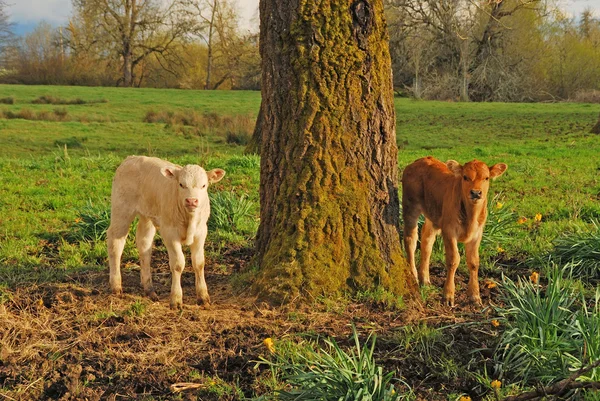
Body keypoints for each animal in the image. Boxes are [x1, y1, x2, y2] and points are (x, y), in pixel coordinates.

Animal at [400, 155, 508, 304]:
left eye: (486, 178)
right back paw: (414, 277)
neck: (470, 218)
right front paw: (448, 294)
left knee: (427, 241)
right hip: (410, 206)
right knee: (410, 240)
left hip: (433, 215)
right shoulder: (449, 231)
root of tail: (420, 160)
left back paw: (425, 279)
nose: (476, 192)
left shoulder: (477, 234)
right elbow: (453, 259)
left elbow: (474, 262)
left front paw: (475, 295)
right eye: (465, 177)